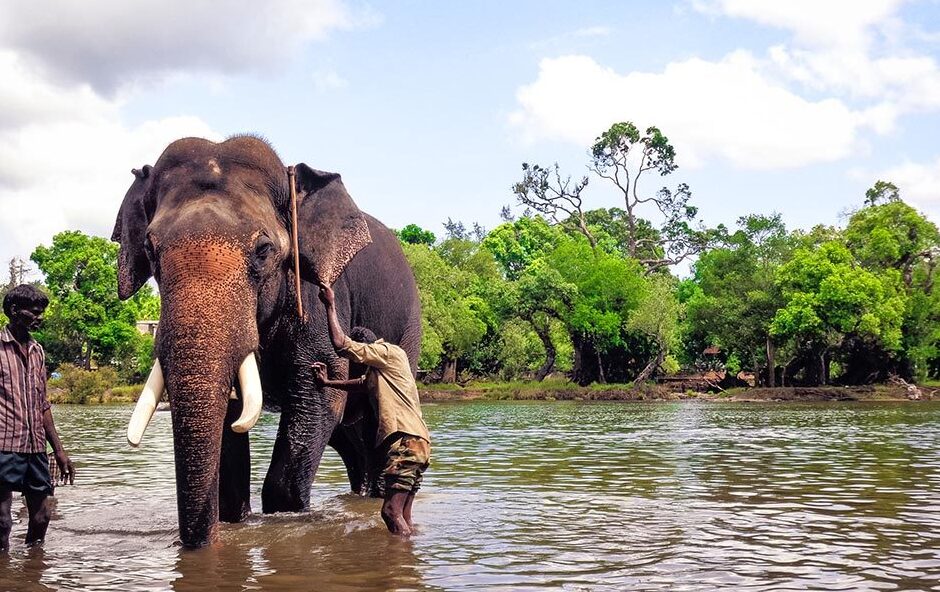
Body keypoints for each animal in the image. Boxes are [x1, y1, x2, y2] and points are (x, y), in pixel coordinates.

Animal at [112, 135, 421, 548]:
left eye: (263, 251)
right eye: (149, 250)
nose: (192, 545)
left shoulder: (311, 294)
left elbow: (317, 396)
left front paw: (285, 516)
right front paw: (231, 518)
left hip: (409, 332)